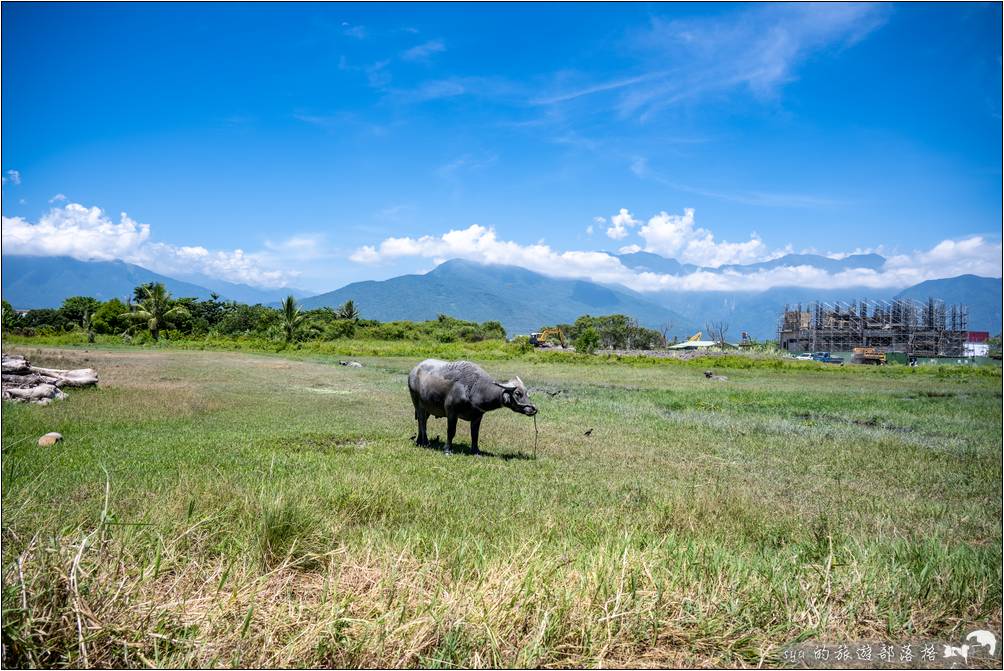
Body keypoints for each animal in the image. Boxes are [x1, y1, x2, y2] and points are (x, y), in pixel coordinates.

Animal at [407, 359, 538, 454]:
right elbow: (451, 431)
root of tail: (414, 370)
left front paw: (476, 451)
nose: (532, 409)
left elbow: (475, 434)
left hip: (428, 408)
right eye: (518, 393)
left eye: (526, 392)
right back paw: (425, 442)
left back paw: (419, 441)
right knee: (422, 422)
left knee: (421, 421)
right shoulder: (451, 412)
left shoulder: (477, 416)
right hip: (417, 403)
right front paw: (448, 450)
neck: (474, 388)